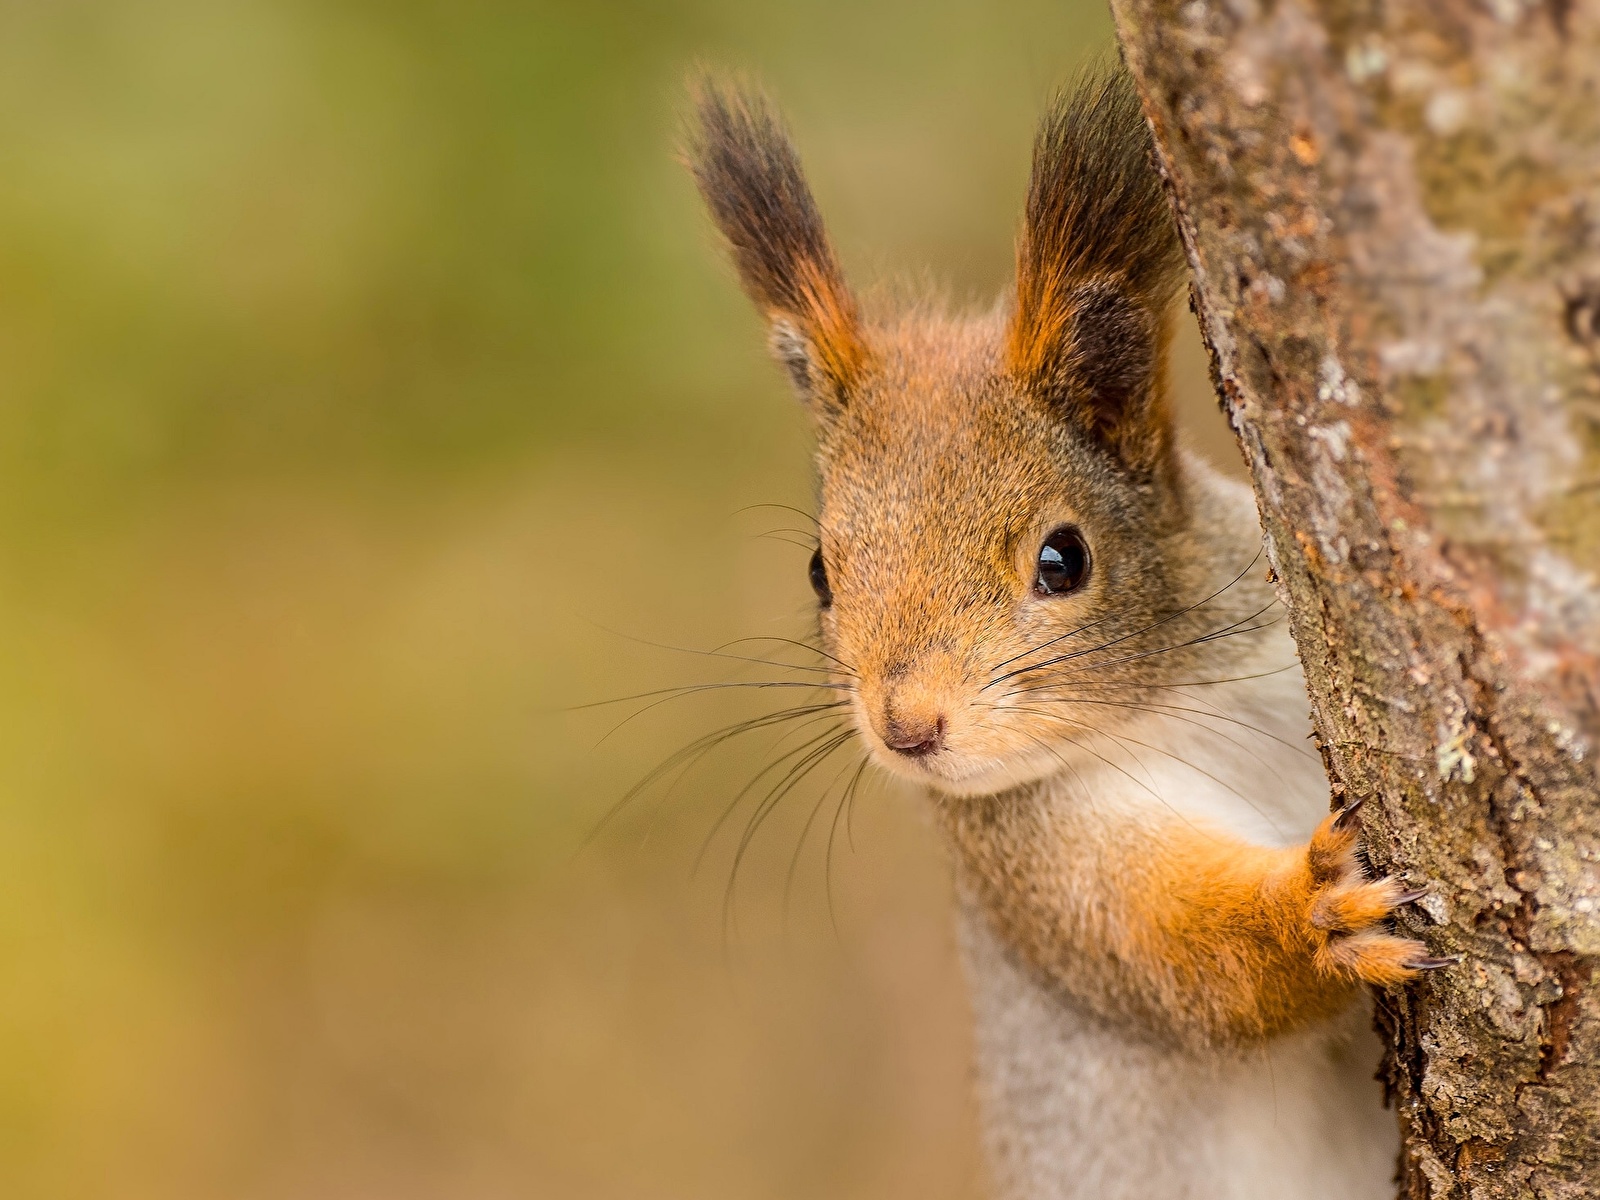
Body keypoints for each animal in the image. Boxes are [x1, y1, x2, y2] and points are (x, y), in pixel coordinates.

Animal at [681, 63, 1446, 1200]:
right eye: (819, 572)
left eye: (1063, 559)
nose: (907, 730)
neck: (1172, 700)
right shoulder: (1044, 876)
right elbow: (1185, 966)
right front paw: (1316, 916)